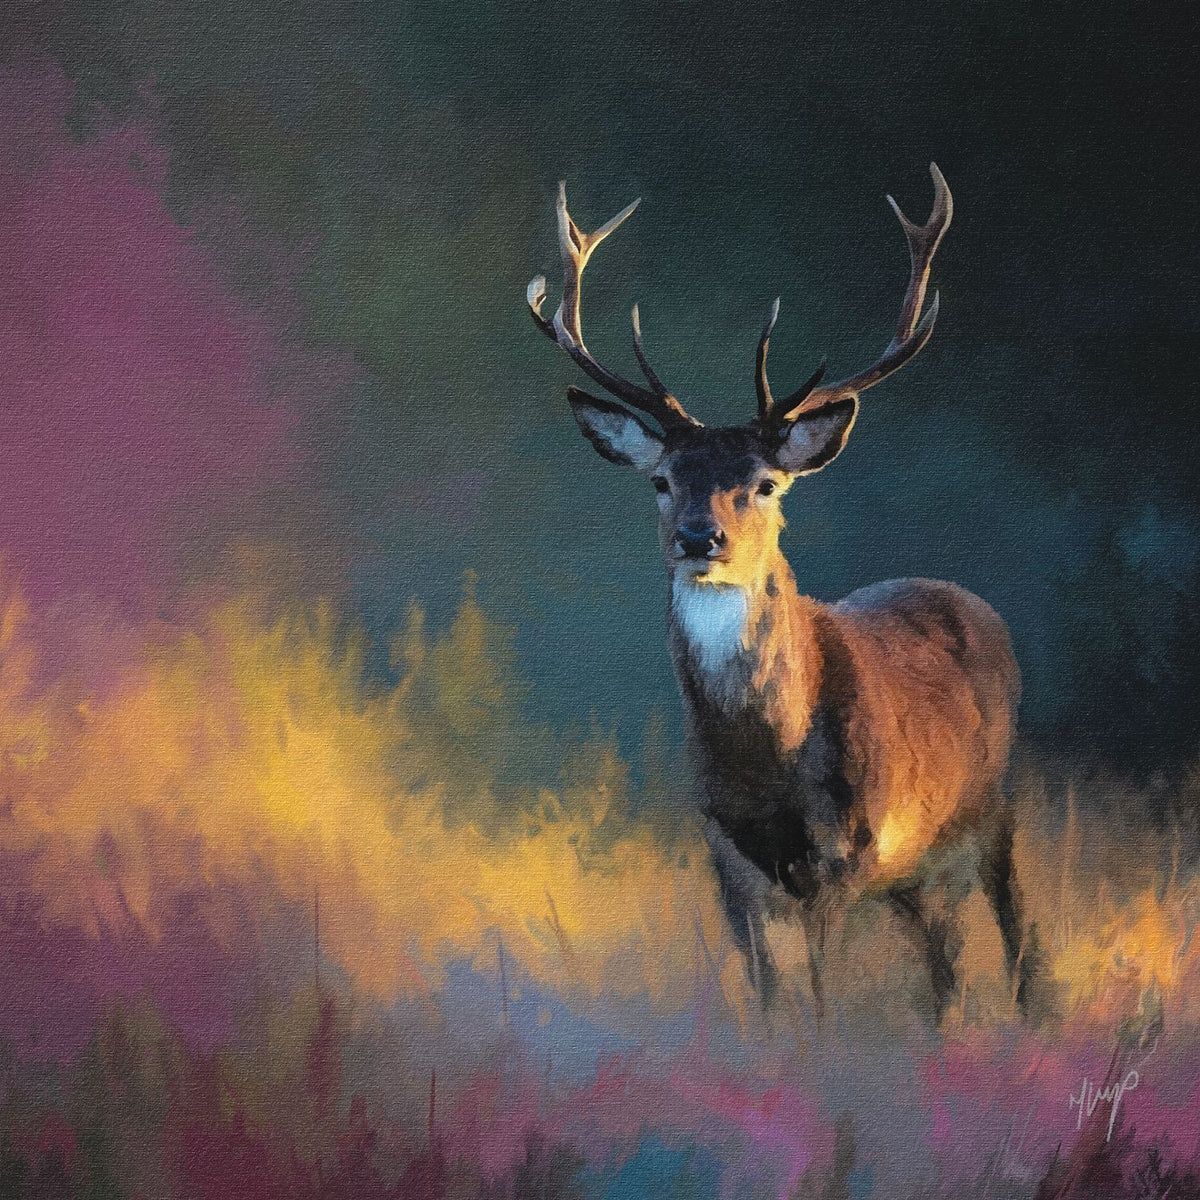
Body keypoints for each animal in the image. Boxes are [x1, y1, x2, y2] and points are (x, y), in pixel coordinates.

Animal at [526, 165, 1040, 1025]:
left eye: (764, 483)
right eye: (662, 480)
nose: (699, 537)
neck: (769, 760)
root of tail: (973, 603)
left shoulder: (844, 851)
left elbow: (823, 992)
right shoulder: (726, 855)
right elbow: (770, 992)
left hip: (995, 807)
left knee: (1019, 941)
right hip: (916, 870)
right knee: (944, 965)